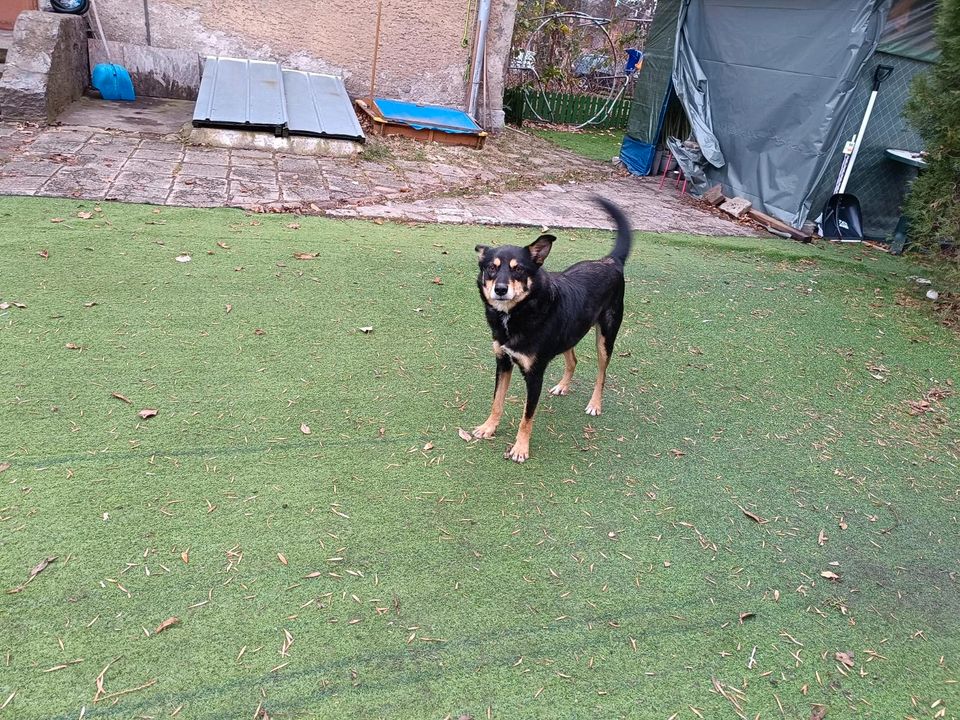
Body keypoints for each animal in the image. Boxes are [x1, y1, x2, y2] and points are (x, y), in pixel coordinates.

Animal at [470, 197, 632, 462]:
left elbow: (527, 416)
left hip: (606, 337)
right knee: (573, 359)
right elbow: (497, 401)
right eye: (491, 268)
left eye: (518, 269)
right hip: (569, 333)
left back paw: (595, 404)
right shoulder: (502, 362)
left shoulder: (535, 374)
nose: (500, 289)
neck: (516, 313)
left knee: (602, 373)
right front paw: (488, 427)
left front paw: (520, 448)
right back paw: (563, 386)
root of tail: (610, 261)